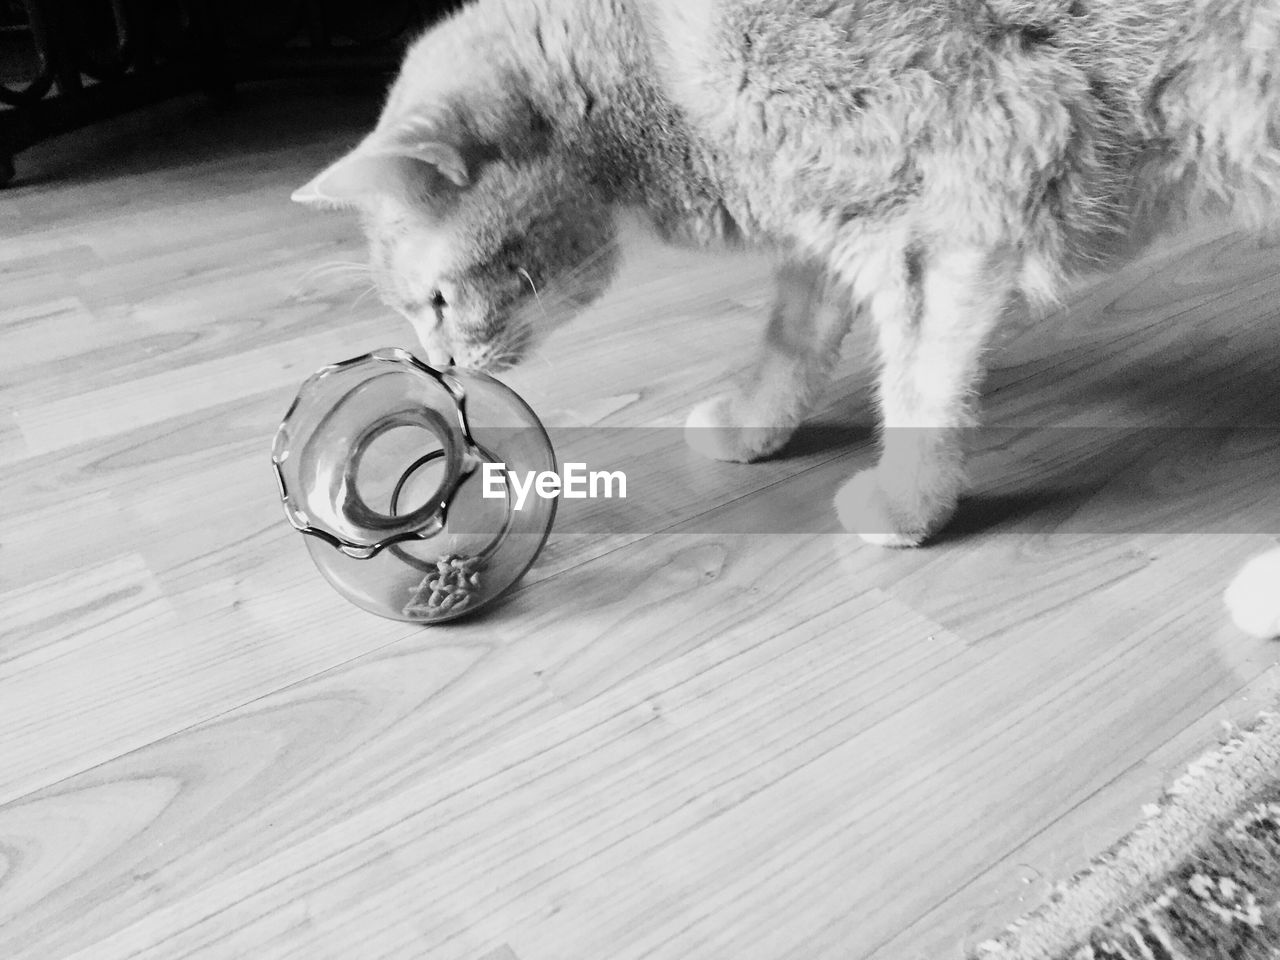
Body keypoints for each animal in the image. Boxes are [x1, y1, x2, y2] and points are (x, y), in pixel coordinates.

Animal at [290, 0, 1280, 547]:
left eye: (437, 301)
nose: (441, 366)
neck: (649, 67)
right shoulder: (841, 227)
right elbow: (789, 346)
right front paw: (752, 428)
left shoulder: (962, 201)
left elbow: (920, 389)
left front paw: (907, 509)